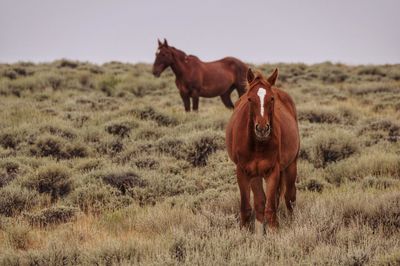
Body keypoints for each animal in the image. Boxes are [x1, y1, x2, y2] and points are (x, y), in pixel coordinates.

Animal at [227, 67, 298, 234]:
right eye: (249, 99)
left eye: (271, 98)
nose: (262, 129)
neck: (258, 145)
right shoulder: (244, 171)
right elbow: (248, 207)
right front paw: (248, 234)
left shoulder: (273, 171)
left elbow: (270, 209)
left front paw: (274, 234)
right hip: (256, 175)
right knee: (260, 202)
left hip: (291, 165)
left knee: (289, 197)